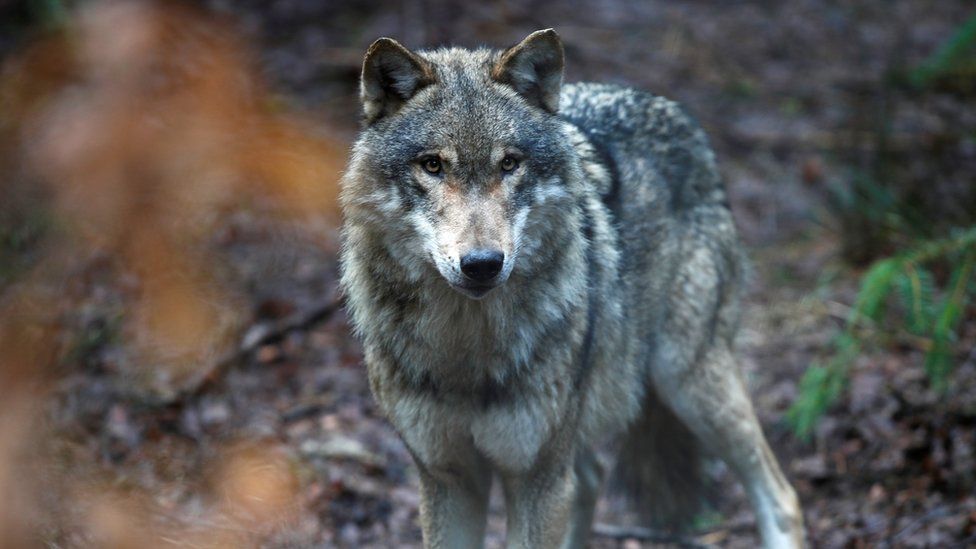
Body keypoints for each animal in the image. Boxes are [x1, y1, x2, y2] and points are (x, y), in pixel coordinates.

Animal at [339, 29, 805, 548]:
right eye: (433, 165)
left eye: (509, 164)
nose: (482, 265)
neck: (466, 350)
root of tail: (673, 110)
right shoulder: (447, 476)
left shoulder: (536, 475)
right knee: (593, 477)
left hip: (687, 380)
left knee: (781, 497)